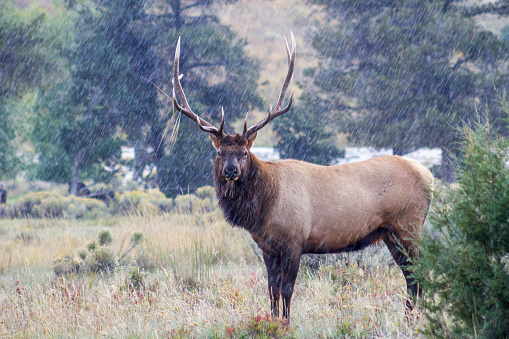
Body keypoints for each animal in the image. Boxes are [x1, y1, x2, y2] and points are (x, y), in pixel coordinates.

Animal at [171, 35, 432, 322]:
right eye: (220, 152)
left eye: (244, 152)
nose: (231, 171)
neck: (264, 208)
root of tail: (428, 176)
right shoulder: (267, 247)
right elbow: (271, 291)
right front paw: (273, 322)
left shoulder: (294, 241)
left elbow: (286, 291)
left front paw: (285, 324)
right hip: (390, 234)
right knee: (411, 276)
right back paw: (409, 319)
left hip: (408, 225)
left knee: (419, 274)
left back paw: (414, 320)